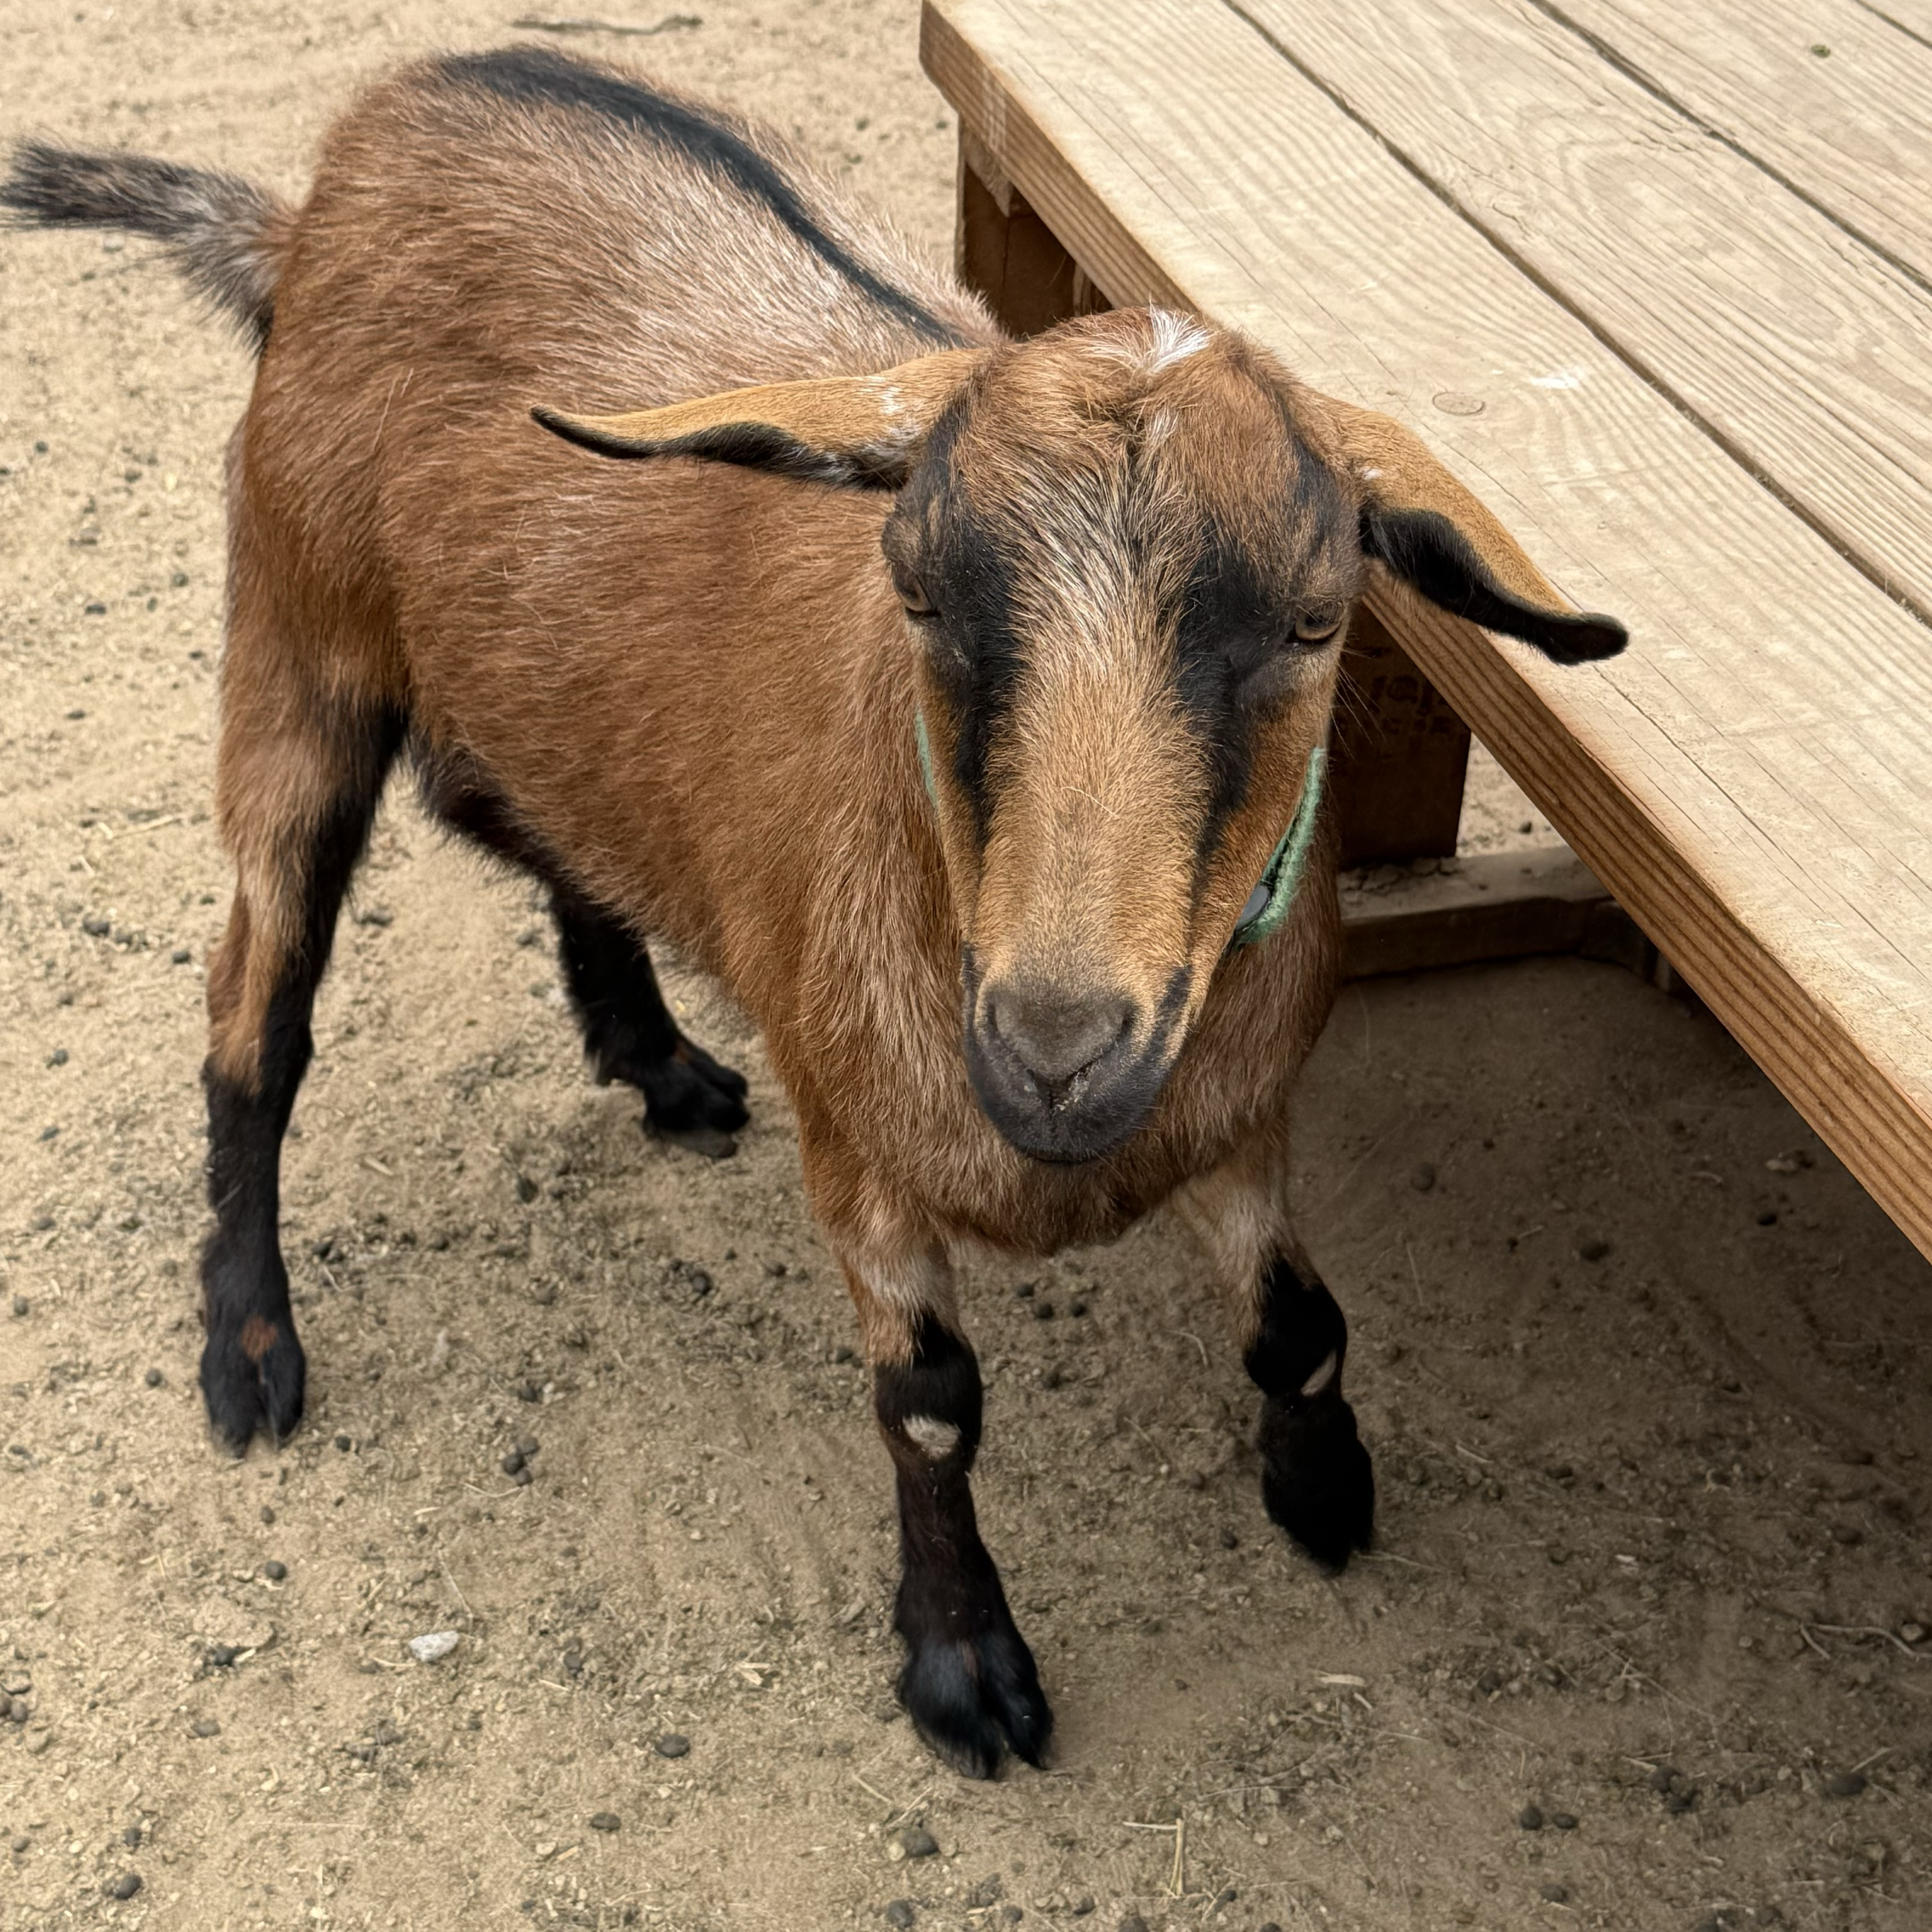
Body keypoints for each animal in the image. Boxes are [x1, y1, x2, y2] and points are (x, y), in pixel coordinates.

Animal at [2, 45, 1624, 1779]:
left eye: (1318, 621)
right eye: (913, 585)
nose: (1053, 1052)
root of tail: (333, 180)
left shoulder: (1234, 1120)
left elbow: (1300, 1322)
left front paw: (1323, 1491)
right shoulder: (857, 1142)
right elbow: (928, 1401)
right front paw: (963, 1666)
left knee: (532, 819)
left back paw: (651, 1052)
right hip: (296, 647)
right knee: (257, 1017)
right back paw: (247, 1349)